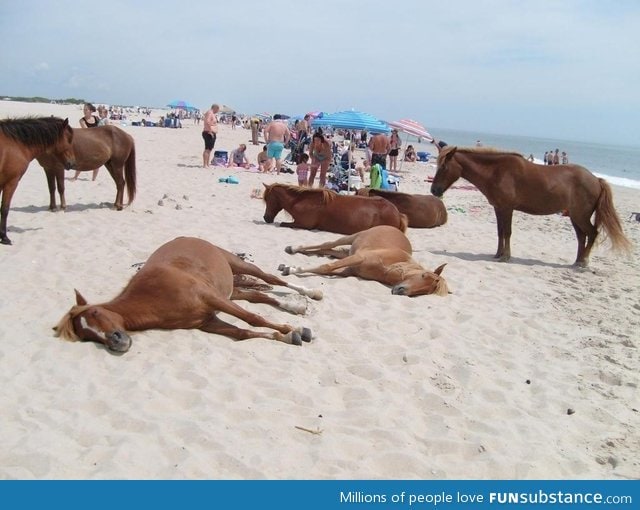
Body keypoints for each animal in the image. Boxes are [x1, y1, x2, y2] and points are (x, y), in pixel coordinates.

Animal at [0, 116, 75, 244]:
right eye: (69, 139)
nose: (72, 163)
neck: (15, 144)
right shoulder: (11, 182)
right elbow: (4, 209)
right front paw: (4, 237)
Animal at [53, 237, 324, 352]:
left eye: (96, 312)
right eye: (86, 337)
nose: (117, 342)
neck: (154, 296)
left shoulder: (211, 299)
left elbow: (252, 319)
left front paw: (292, 329)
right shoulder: (206, 322)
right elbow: (243, 333)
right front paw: (288, 336)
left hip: (237, 265)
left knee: (271, 279)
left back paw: (311, 293)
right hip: (231, 292)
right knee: (259, 296)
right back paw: (294, 307)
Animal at [262, 183, 408, 235]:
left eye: (268, 199)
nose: (266, 218)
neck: (303, 200)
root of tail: (397, 213)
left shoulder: (303, 224)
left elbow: (283, 224)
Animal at [278, 225, 448, 296]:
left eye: (427, 291)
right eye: (423, 275)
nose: (400, 291)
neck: (388, 267)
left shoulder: (348, 269)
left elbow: (327, 268)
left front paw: (290, 267)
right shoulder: (358, 258)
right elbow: (326, 267)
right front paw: (291, 269)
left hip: (347, 252)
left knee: (327, 250)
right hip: (351, 237)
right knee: (327, 244)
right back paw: (293, 248)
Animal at [428, 145, 632, 266]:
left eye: (444, 167)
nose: (434, 190)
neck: (496, 171)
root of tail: (596, 179)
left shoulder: (507, 208)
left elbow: (507, 232)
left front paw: (506, 256)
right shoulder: (498, 208)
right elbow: (500, 232)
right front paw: (498, 254)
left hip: (580, 216)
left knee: (592, 234)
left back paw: (584, 262)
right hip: (575, 217)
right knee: (582, 237)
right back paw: (577, 261)